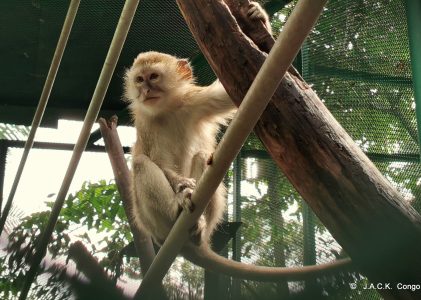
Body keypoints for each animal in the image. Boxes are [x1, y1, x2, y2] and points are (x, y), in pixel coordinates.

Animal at [124, 1, 352, 282]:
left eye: (153, 77)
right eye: (139, 80)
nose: (144, 91)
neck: (167, 109)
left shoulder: (195, 101)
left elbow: (238, 87)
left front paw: (259, 18)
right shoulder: (145, 123)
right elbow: (157, 161)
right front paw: (181, 186)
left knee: (202, 157)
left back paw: (196, 227)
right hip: (150, 221)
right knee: (142, 165)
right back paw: (178, 207)